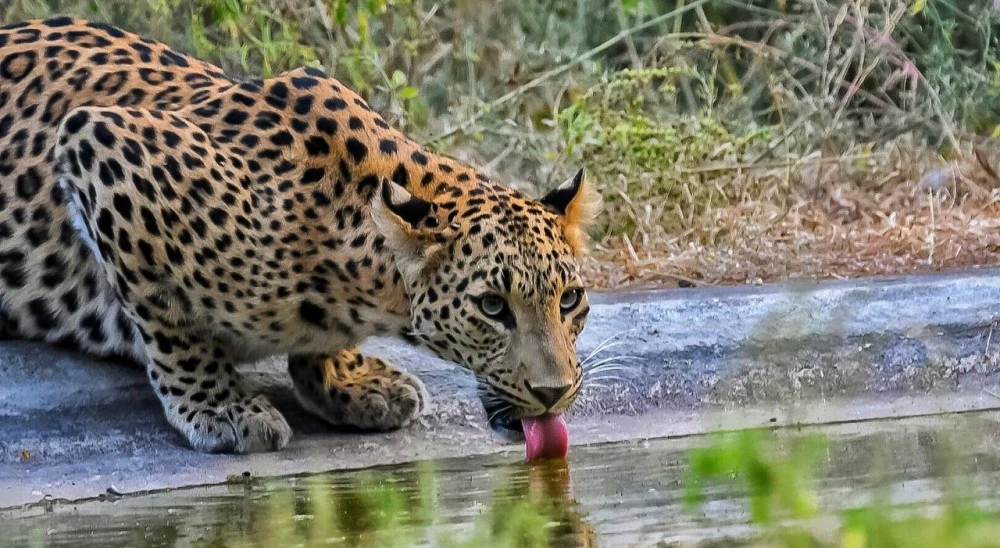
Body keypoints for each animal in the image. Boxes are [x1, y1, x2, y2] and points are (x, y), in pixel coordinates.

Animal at [0, 17, 600, 453]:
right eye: (493, 307)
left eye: (570, 299)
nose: (554, 393)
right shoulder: (100, 141)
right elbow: (167, 314)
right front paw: (220, 407)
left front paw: (349, 379)